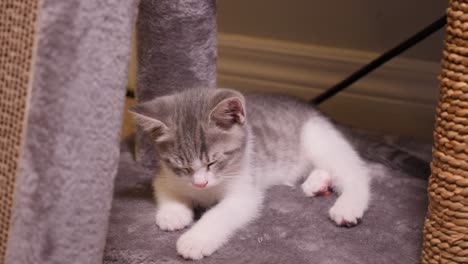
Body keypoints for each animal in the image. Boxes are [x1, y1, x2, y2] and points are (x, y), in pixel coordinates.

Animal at [130, 88, 372, 260]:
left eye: (212, 161)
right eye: (183, 167)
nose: (200, 184)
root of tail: (313, 110)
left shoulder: (245, 191)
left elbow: (220, 214)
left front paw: (195, 240)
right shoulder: (166, 174)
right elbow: (164, 188)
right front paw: (173, 214)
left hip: (317, 138)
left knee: (355, 173)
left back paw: (347, 206)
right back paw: (316, 183)